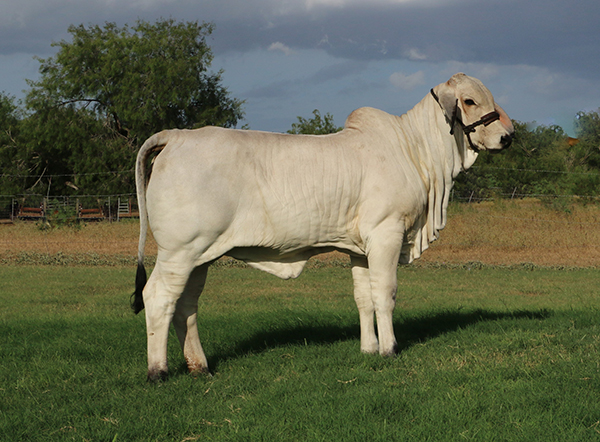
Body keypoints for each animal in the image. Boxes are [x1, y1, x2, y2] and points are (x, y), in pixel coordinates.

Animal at [134, 71, 512, 380]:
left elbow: (364, 297)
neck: (416, 150)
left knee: (185, 306)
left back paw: (199, 367)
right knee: (157, 297)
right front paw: (389, 349)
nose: (508, 136)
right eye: (469, 100)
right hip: (180, 250)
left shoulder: (360, 248)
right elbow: (385, 293)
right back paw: (158, 371)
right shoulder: (386, 233)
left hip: (201, 256)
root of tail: (177, 136)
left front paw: (368, 349)